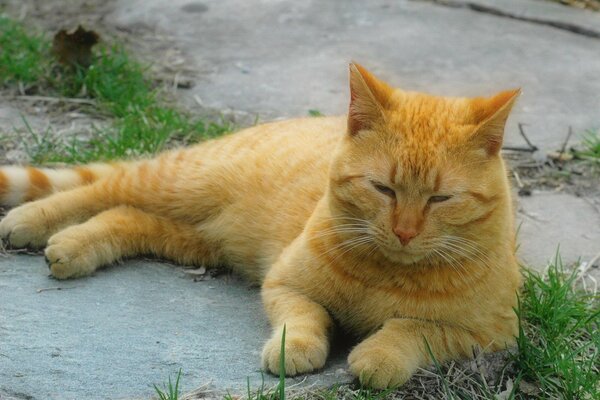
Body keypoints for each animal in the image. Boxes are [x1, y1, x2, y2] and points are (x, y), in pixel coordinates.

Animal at [0, 65, 520, 388]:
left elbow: (413, 330)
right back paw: (29, 221)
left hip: (194, 238)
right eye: (383, 189)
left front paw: (379, 356)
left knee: (123, 215)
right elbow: (306, 318)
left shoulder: (492, 334)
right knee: (103, 190)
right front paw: (297, 350)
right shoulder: (284, 285)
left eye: (440, 199)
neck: (387, 270)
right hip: (178, 184)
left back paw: (73, 246)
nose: (405, 232)